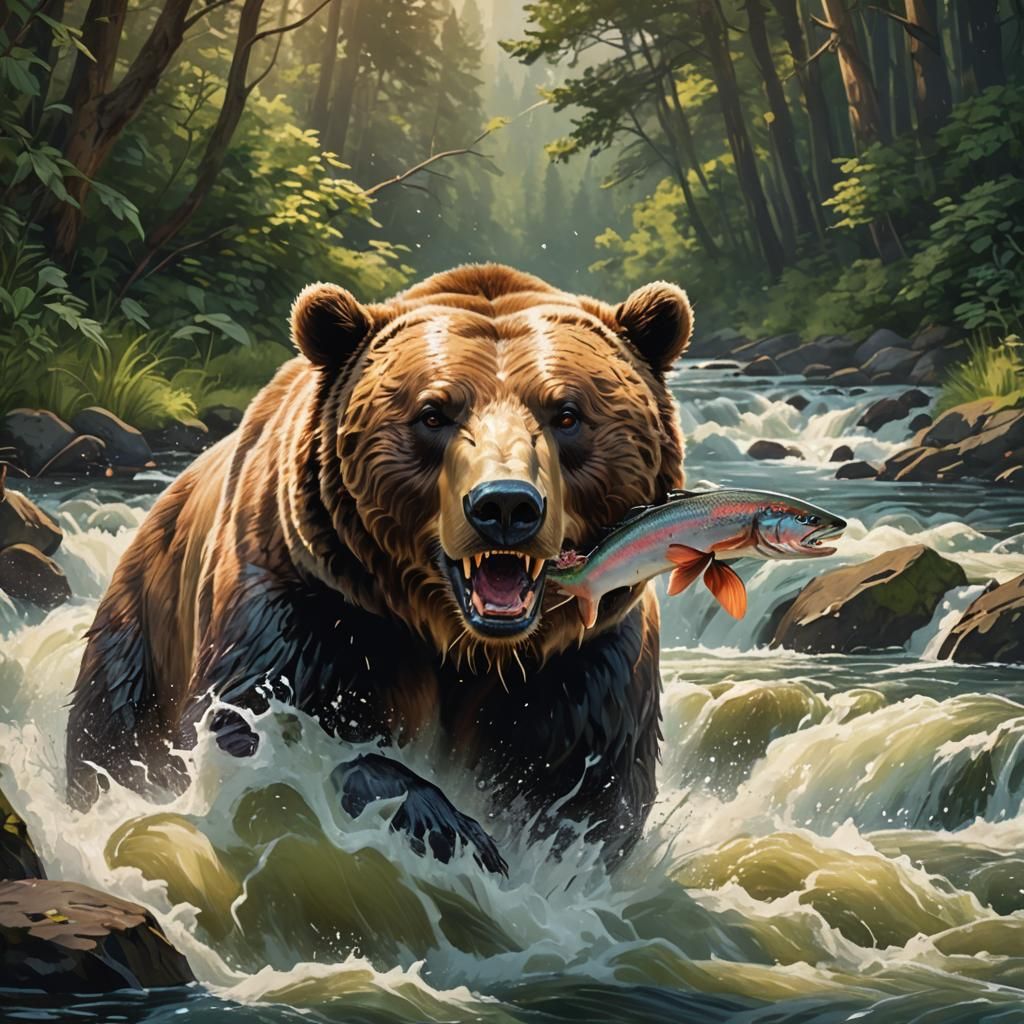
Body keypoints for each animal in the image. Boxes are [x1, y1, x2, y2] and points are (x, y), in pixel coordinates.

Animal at [66, 264, 691, 872]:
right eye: (433, 413)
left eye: (566, 413)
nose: (506, 506)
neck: (462, 643)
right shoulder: (310, 607)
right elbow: (254, 731)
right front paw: (456, 830)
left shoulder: (584, 659)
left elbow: (585, 792)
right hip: (141, 638)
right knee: (111, 733)